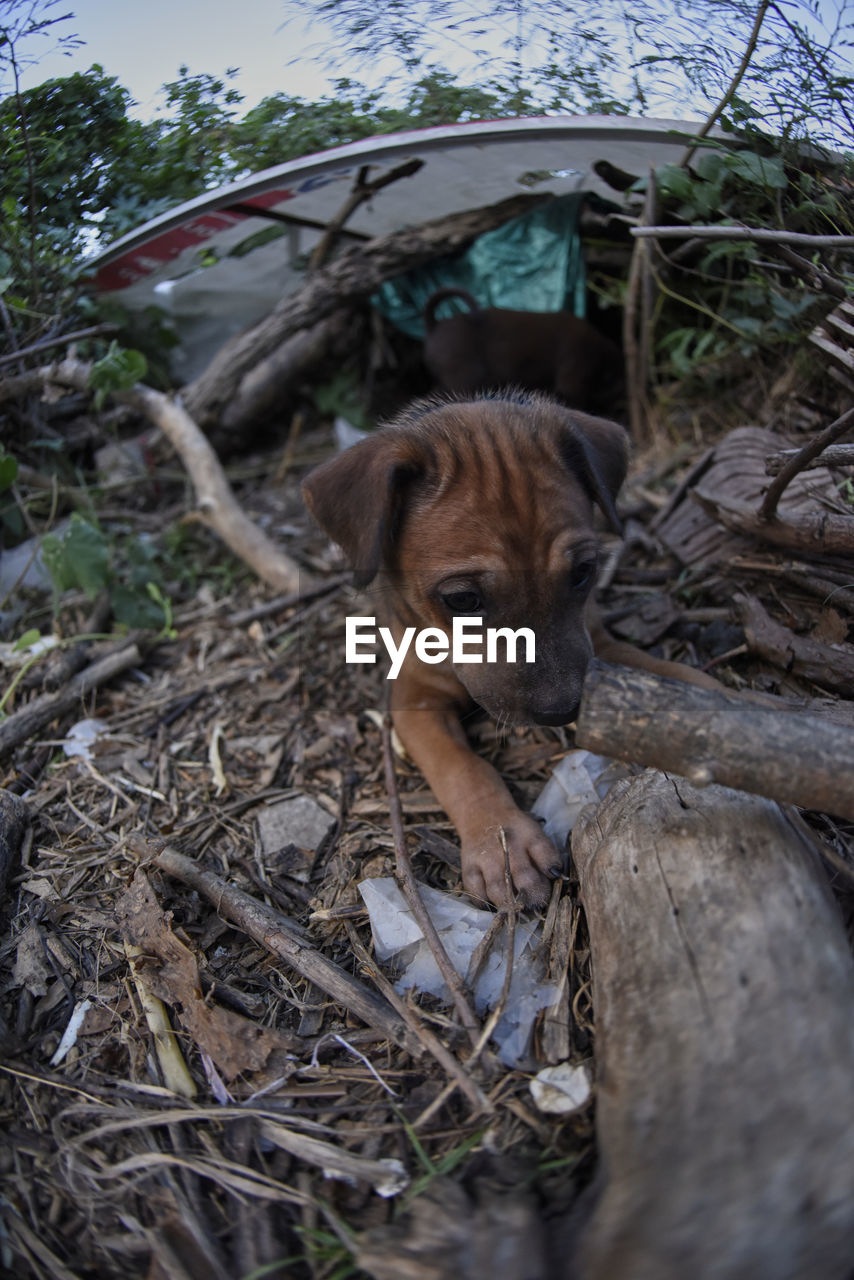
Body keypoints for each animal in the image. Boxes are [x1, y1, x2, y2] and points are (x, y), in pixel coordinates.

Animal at [303, 394, 717, 906]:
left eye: (584, 572)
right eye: (462, 600)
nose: (564, 711)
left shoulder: (596, 643)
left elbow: (665, 674)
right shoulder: (414, 697)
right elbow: (462, 767)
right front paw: (504, 840)